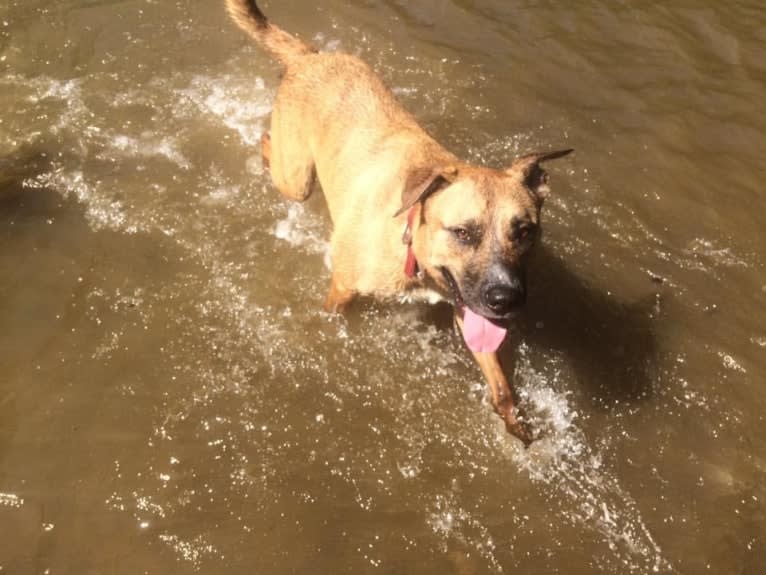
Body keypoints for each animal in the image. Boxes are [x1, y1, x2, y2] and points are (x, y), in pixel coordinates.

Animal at [225, 0, 572, 446]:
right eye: (463, 232)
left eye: (525, 231)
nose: (506, 299)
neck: (410, 240)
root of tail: (310, 57)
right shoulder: (343, 288)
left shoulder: (469, 306)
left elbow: (500, 384)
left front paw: (517, 424)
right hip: (296, 178)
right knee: (270, 147)